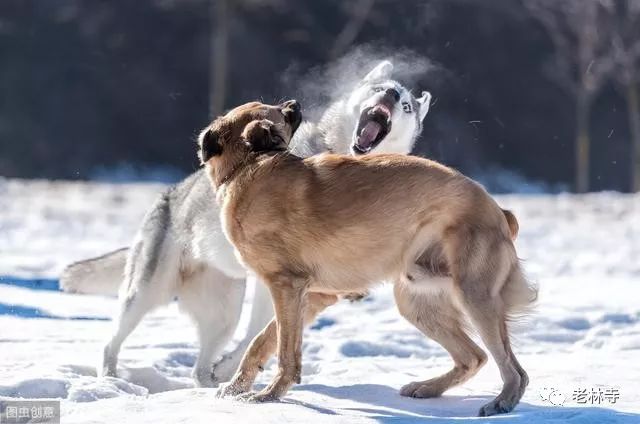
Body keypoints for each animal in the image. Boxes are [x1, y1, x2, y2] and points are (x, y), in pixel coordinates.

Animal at [200, 101, 536, 416]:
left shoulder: (287, 286)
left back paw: (502, 402)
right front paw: (236, 387)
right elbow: (263, 341)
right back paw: (429, 388)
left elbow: (283, 350)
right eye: (274, 109)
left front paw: (268, 395)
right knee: (473, 357)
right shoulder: (310, 295)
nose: (294, 103)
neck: (246, 167)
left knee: (514, 370)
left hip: (475, 297)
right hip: (417, 303)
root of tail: (497, 210)